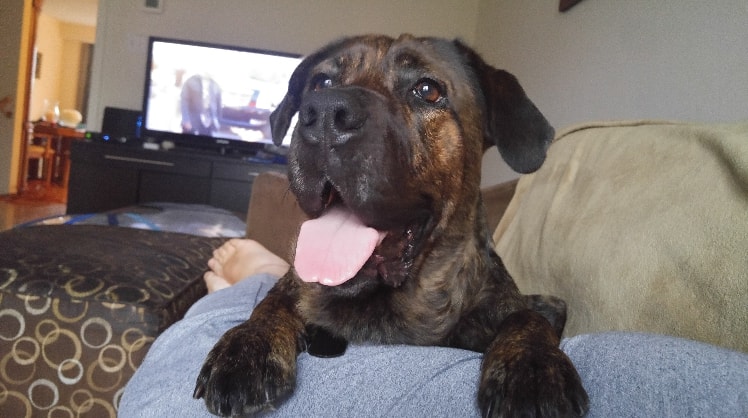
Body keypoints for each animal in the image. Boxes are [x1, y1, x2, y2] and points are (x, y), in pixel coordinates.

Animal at [194, 34, 589, 417]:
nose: (324, 112)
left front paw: (533, 369)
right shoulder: (295, 286)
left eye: (427, 90)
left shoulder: (525, 304)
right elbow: (271, 302)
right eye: (321, 83)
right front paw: (248, 345)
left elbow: (527, 319)